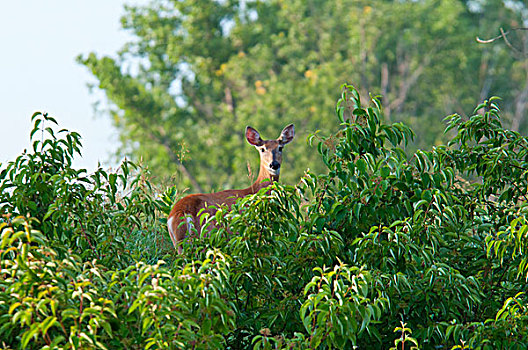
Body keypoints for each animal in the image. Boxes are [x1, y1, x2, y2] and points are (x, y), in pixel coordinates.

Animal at [168, 124, 294, 253]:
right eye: (262, 149)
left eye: (280, 148)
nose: (274, 165)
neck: (254, 191)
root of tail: (180, 213)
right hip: (206, 236)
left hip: (179, 245)